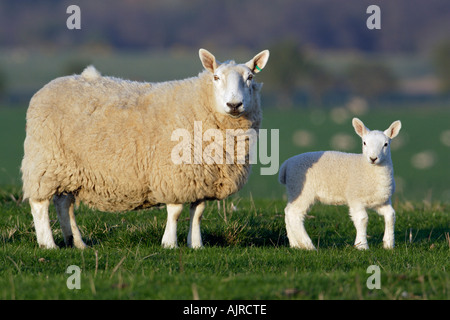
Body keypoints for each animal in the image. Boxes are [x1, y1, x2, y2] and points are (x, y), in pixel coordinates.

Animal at [22, 48, 270, 250]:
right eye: (216, 77)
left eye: (250, 77)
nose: (234, 105)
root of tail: (48, 87)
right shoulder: (174, 173)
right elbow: (176, 211)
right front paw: (169, 243)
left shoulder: (202, 178)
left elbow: (197, 212)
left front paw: (196, 244)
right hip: (46, 160)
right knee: (40, 204)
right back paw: (48, 244)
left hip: (70, 168)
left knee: (64, 204)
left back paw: (76, 242)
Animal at [280, 117, 402, 250]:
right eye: (364, 143)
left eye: (386, 144)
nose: (373, 158)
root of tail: (287, 164)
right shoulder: (355, 198)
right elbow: (362, 219)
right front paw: (362, 246)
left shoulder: (381, 201)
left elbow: (391, 215)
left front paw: (389, 244)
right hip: (302, 190)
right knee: (294, 214)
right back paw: (309, 246)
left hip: (294, 190)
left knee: (287, 212)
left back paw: (295, 244)